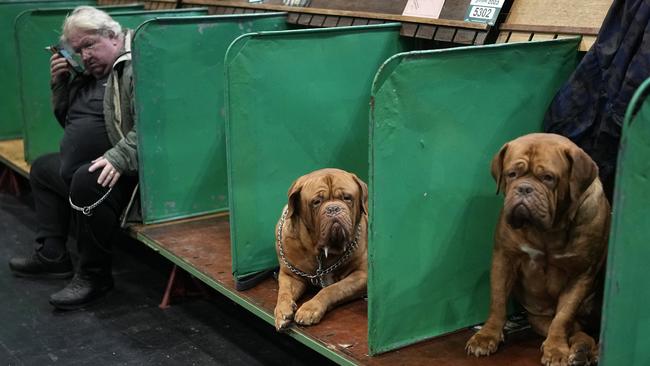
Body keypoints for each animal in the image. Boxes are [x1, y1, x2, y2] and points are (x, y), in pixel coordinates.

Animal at [270, 169, 368, 332]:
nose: (333, 208)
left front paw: (310, 308)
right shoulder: (289, 275)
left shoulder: (362, 275)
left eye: (347, 198)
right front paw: (282, 311)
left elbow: (332, 289)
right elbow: (283, 292)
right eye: (316, 202)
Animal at [466, 134, 608, 366]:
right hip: (539, 318)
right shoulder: (504, 258)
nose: (524, 188)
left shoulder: (581, 274)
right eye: (511, 174)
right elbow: (497, 301)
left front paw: (556, 349)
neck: (549, 231)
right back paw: (581, 351)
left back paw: (587, 352)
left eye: (548, 178)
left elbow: (563, 316)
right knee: (578, 332)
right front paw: (486, 337)